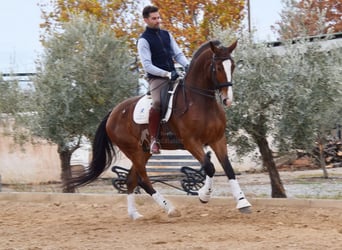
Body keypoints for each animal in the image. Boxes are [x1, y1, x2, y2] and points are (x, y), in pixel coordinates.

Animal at [67, 39, 252, 219]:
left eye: (232, 66)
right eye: (218, 67)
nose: (228, 99)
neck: (200, 102)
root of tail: (113, 112)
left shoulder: (217, 139)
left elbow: (227, 168)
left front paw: (243, 202)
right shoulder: (191, 142)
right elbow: (209, 167)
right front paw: (203, 195)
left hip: (144, 151)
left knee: (131, 179)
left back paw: (135, 214)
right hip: (133, 151)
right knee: (143, 180)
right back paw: (170, 209)